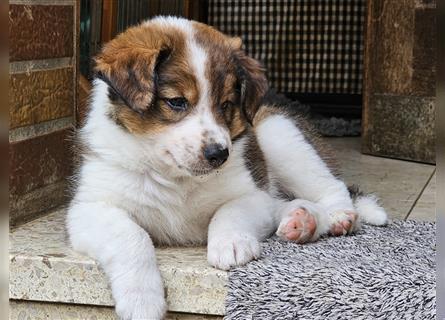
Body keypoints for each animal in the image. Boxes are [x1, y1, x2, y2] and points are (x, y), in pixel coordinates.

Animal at [67, 16, 388, 318]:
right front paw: (141, 301)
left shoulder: (252, 193)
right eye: (177, 102)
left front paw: (231, 244)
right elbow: (131, 235)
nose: (219, 154)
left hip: (278, 132)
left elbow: (229, 211)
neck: (175, 177)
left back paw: (339, 217)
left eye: (225, 105)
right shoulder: (89, 208)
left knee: (330, 186)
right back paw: (301, 220)